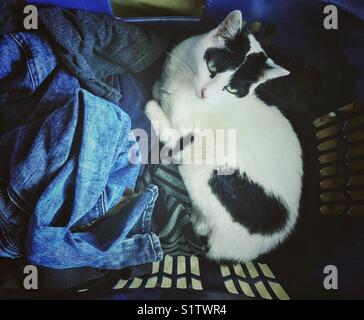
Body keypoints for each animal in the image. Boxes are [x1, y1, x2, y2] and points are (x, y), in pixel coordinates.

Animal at [144, 10, 302, 262]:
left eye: (231, 89)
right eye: (212, 67)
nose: (204, 94)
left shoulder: (185, 130)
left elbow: (172, 131)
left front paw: (154, 105)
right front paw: (159, 89)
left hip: (205, 167)